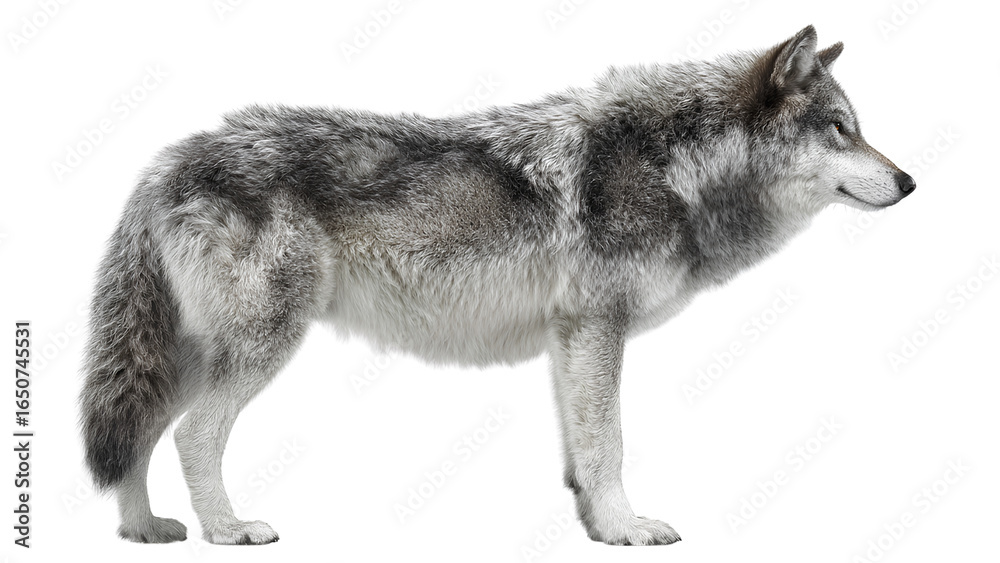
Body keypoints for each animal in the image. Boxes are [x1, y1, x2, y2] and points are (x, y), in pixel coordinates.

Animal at [79, 25, 914, 546]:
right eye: (840, 130)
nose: (909, 181)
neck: (677, 167)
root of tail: (165, 163)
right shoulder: (597, 325)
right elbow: (611, 442)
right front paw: (627, 528)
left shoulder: (569, 337)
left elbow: (582, 447)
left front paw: (592, 521)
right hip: (259, 345)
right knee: (189, 434)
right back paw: (228, 529)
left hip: (190, 351)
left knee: (138, 432)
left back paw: (143, 529)